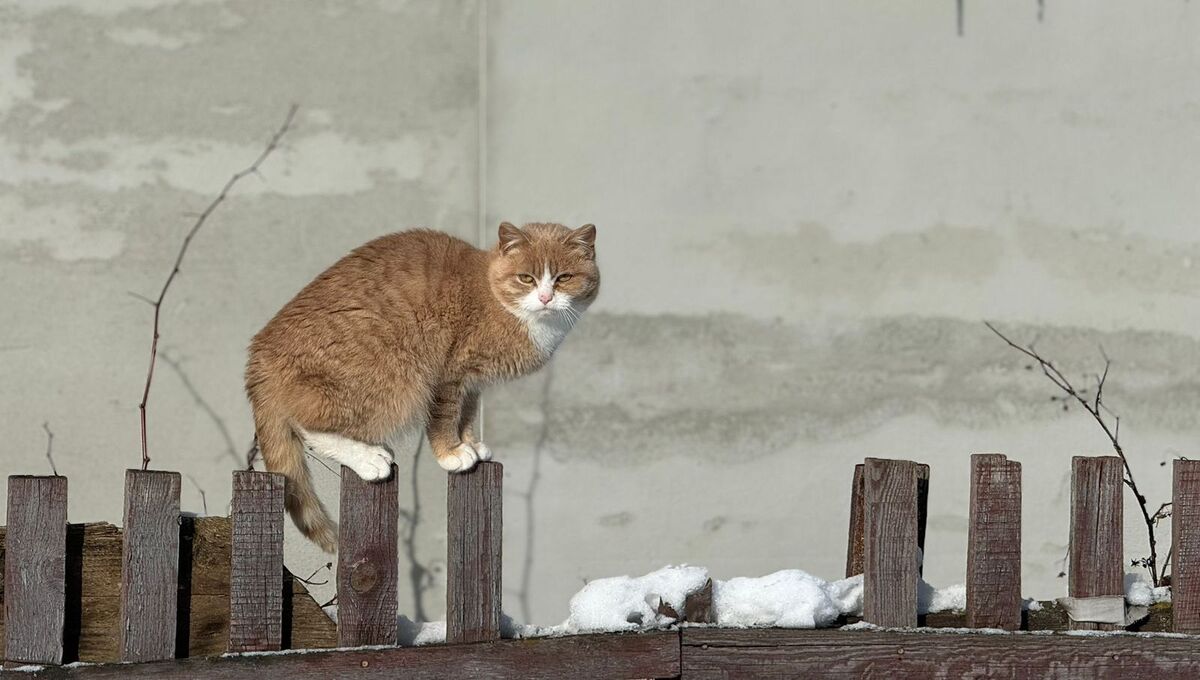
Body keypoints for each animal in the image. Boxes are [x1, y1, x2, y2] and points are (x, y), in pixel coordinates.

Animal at [244, 223, 600, 554]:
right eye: (527, 278)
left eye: (564, 278)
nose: (545, 298)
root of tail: (260, 355)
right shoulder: (448, 374)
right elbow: (444, 418)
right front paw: (451, 453)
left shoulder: (471, 384)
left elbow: (466, 416)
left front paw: (470, 444)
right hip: (396, 378)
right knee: (309, 426)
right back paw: (367, 458)